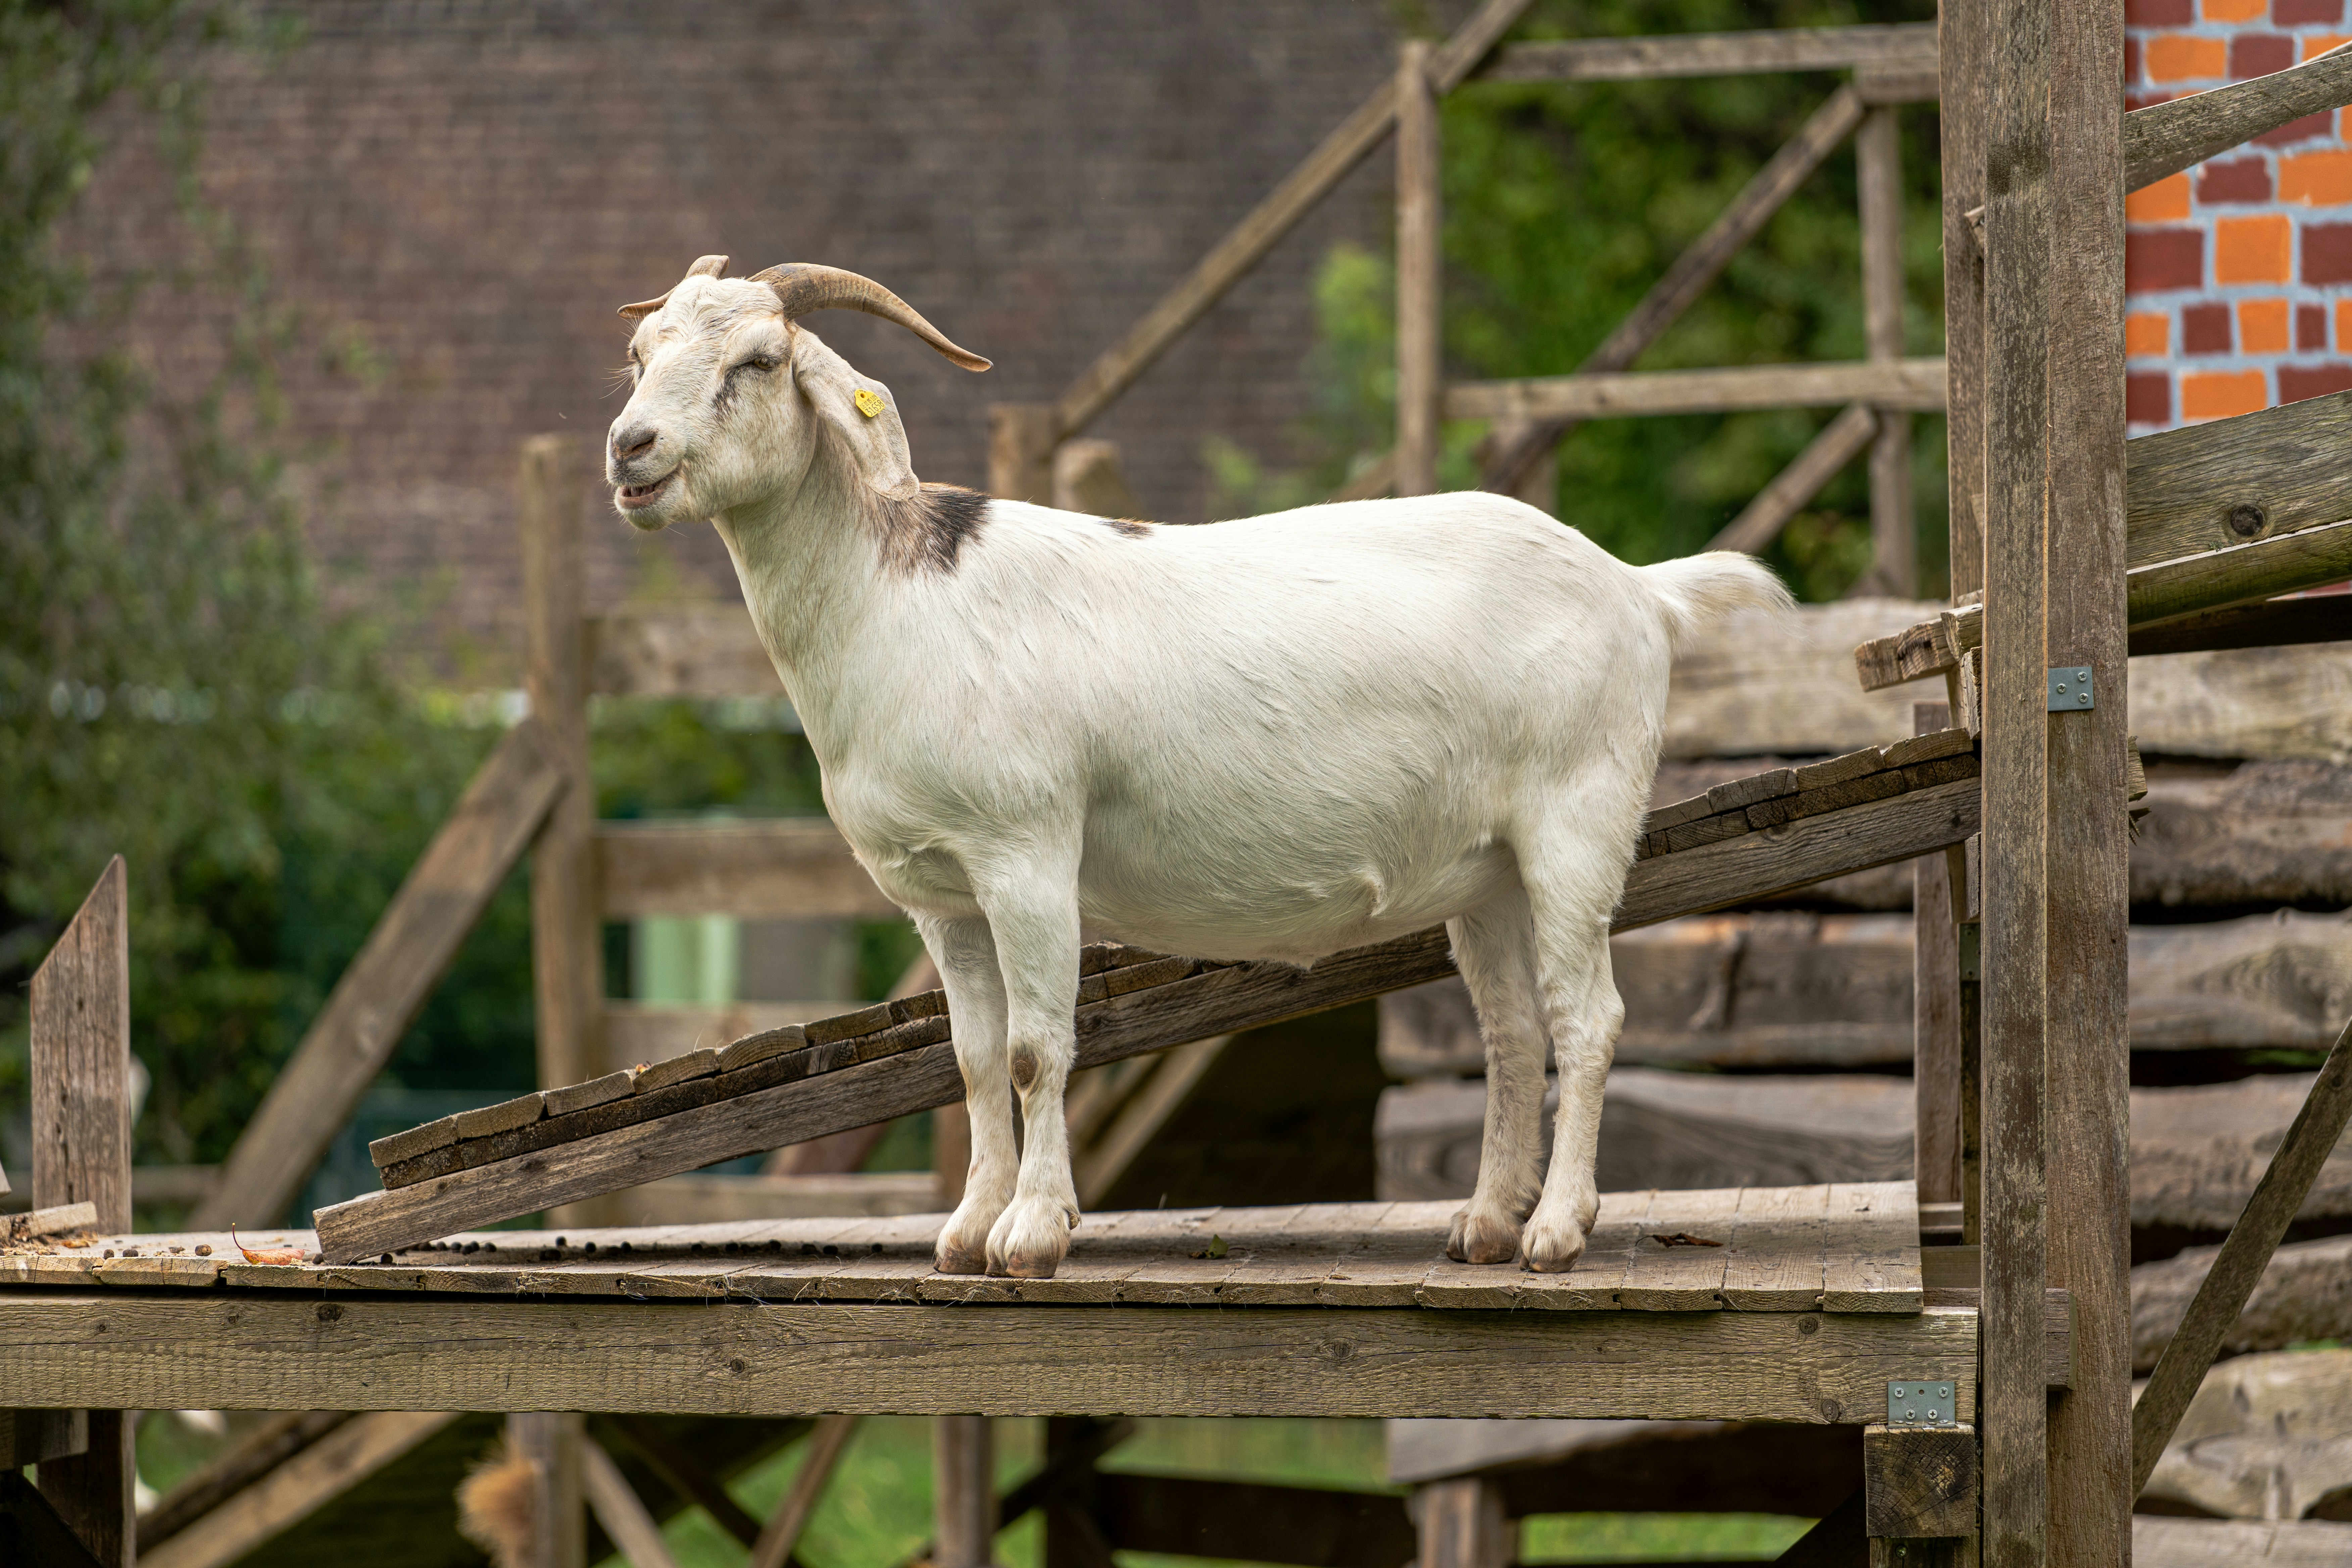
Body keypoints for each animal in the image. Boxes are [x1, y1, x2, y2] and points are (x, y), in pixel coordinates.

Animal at [604, 257, 1790, 1280]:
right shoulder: (940, 896)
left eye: (760, 358)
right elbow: (974, 1059)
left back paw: (1555, 1230)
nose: (630, 446)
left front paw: (1032, 1235)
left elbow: (1035, 1050)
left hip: (1576, 823)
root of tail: (1639, 588)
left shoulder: (1025, 853)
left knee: (1587, 1018)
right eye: (641, 353)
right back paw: (1487, 1223)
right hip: (1489, 869)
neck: (900, 604)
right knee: (1510, 1029)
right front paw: (967, 1230)